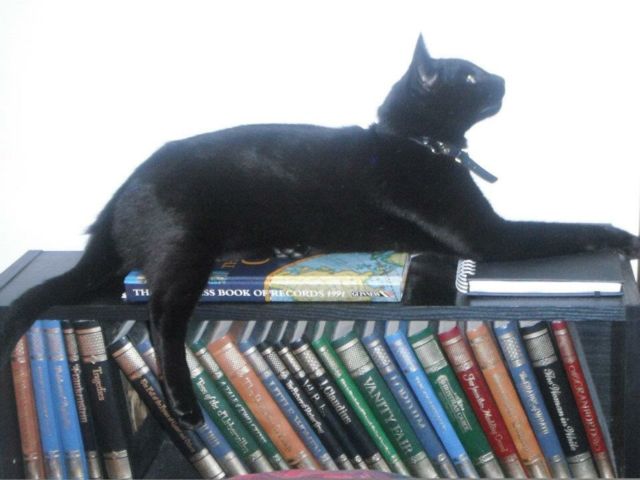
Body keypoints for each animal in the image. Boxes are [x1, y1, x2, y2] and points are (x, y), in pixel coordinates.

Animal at [2, 35, 639, 429]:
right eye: (470, 75)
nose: (504, 78)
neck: (414, 141)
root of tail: (120, 196)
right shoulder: (488, 236)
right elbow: (565, 226)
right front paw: (627, 238)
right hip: (187, 247)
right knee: (161, 318)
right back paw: (184, 402)